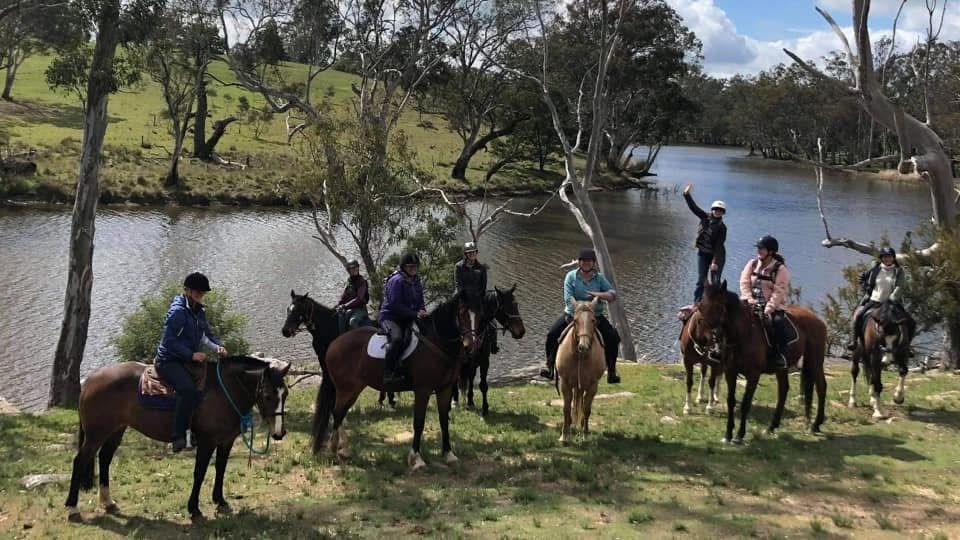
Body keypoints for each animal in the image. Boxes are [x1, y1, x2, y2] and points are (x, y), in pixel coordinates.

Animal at [64, 356, 288, 520]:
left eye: (285, 394)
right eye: (268, 395)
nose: (279, 433)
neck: (224, 390)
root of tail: (90, 380)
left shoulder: (226, 441)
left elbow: (221, 469)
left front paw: (220, 501)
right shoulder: (207, 442)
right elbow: (200, 473)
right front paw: (194, 509)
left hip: (116, 430)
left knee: (104, 458)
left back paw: (107, 502)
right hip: (97, 433)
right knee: (80, 461)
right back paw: (72, 508)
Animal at [312, 292, 472, 468]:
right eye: (462, 313)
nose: (470, 345)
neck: (436, 342)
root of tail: (333, 344)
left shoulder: (445, 389)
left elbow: (444, 420)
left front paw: (449, 454)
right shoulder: (422, 391)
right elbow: (419, 423)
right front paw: (416, 459)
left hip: (353, 389)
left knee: (340, 413)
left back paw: (342, 449)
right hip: (346, 388)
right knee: (337, 412)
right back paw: (335, 449)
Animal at [456, 286, 528, 418]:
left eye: (516, 304)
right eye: (505, 307)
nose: (521, 331)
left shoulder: (484, 360)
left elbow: (483, 385)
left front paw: (484, 408)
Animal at [552, 298, 604, 446]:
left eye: (593, 320)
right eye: (575, 321)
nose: (583, 346)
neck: (580, 356)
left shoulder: (592, 385)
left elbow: (586, 410)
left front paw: (585, 435)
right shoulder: (565, 383)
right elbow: (566, 408)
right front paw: (564, 435)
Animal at [692, 282, 828, 442]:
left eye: (718, 307)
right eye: (701, 306)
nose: (703, 337)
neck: (743, 334)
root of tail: (818, 320)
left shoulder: (753, 375)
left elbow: (746, 403)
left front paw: (739, 435)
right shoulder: (730, 372)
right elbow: (731, 401)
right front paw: (728, 434)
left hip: (814, 361)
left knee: (821, 387)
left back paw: (816, 424)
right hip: (783, 368)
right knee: (783, 390)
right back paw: (772, 427)